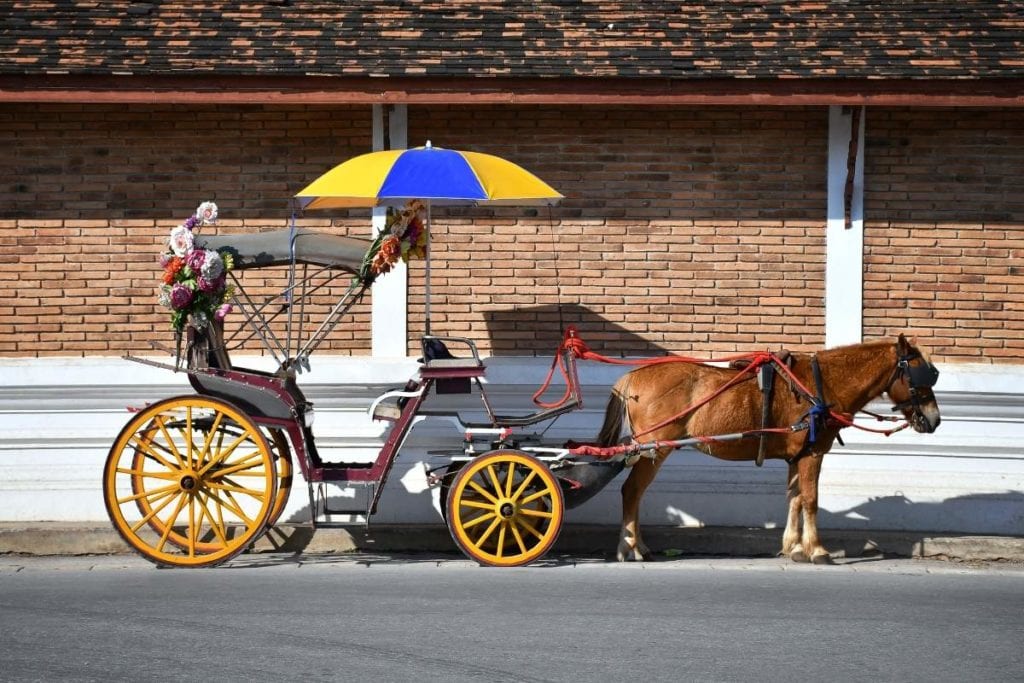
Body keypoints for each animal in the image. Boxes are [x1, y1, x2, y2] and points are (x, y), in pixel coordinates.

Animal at [598, 333, 937, 565]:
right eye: (919, 373)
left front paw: (794, 547)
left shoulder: (797, 455)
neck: (821, 385)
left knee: (635, 493)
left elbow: (795, 498)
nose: (934, 419)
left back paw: (638, 546)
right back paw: (628, 548)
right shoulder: (813, 453)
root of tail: (633, 376)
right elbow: (811, 500)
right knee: (632, 491)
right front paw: (817, 550)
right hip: (653, 449)